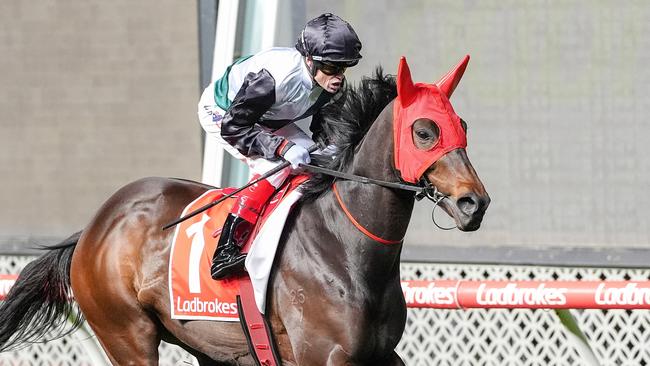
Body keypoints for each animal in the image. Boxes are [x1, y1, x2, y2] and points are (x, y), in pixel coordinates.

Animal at [0, 55, 486, 364]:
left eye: (461, 125)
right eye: (424, 131)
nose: (474, 203)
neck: (346, 249)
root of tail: (93, 226)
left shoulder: (381, 356)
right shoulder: (322, 357)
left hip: (207, 345)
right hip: (127, 335)